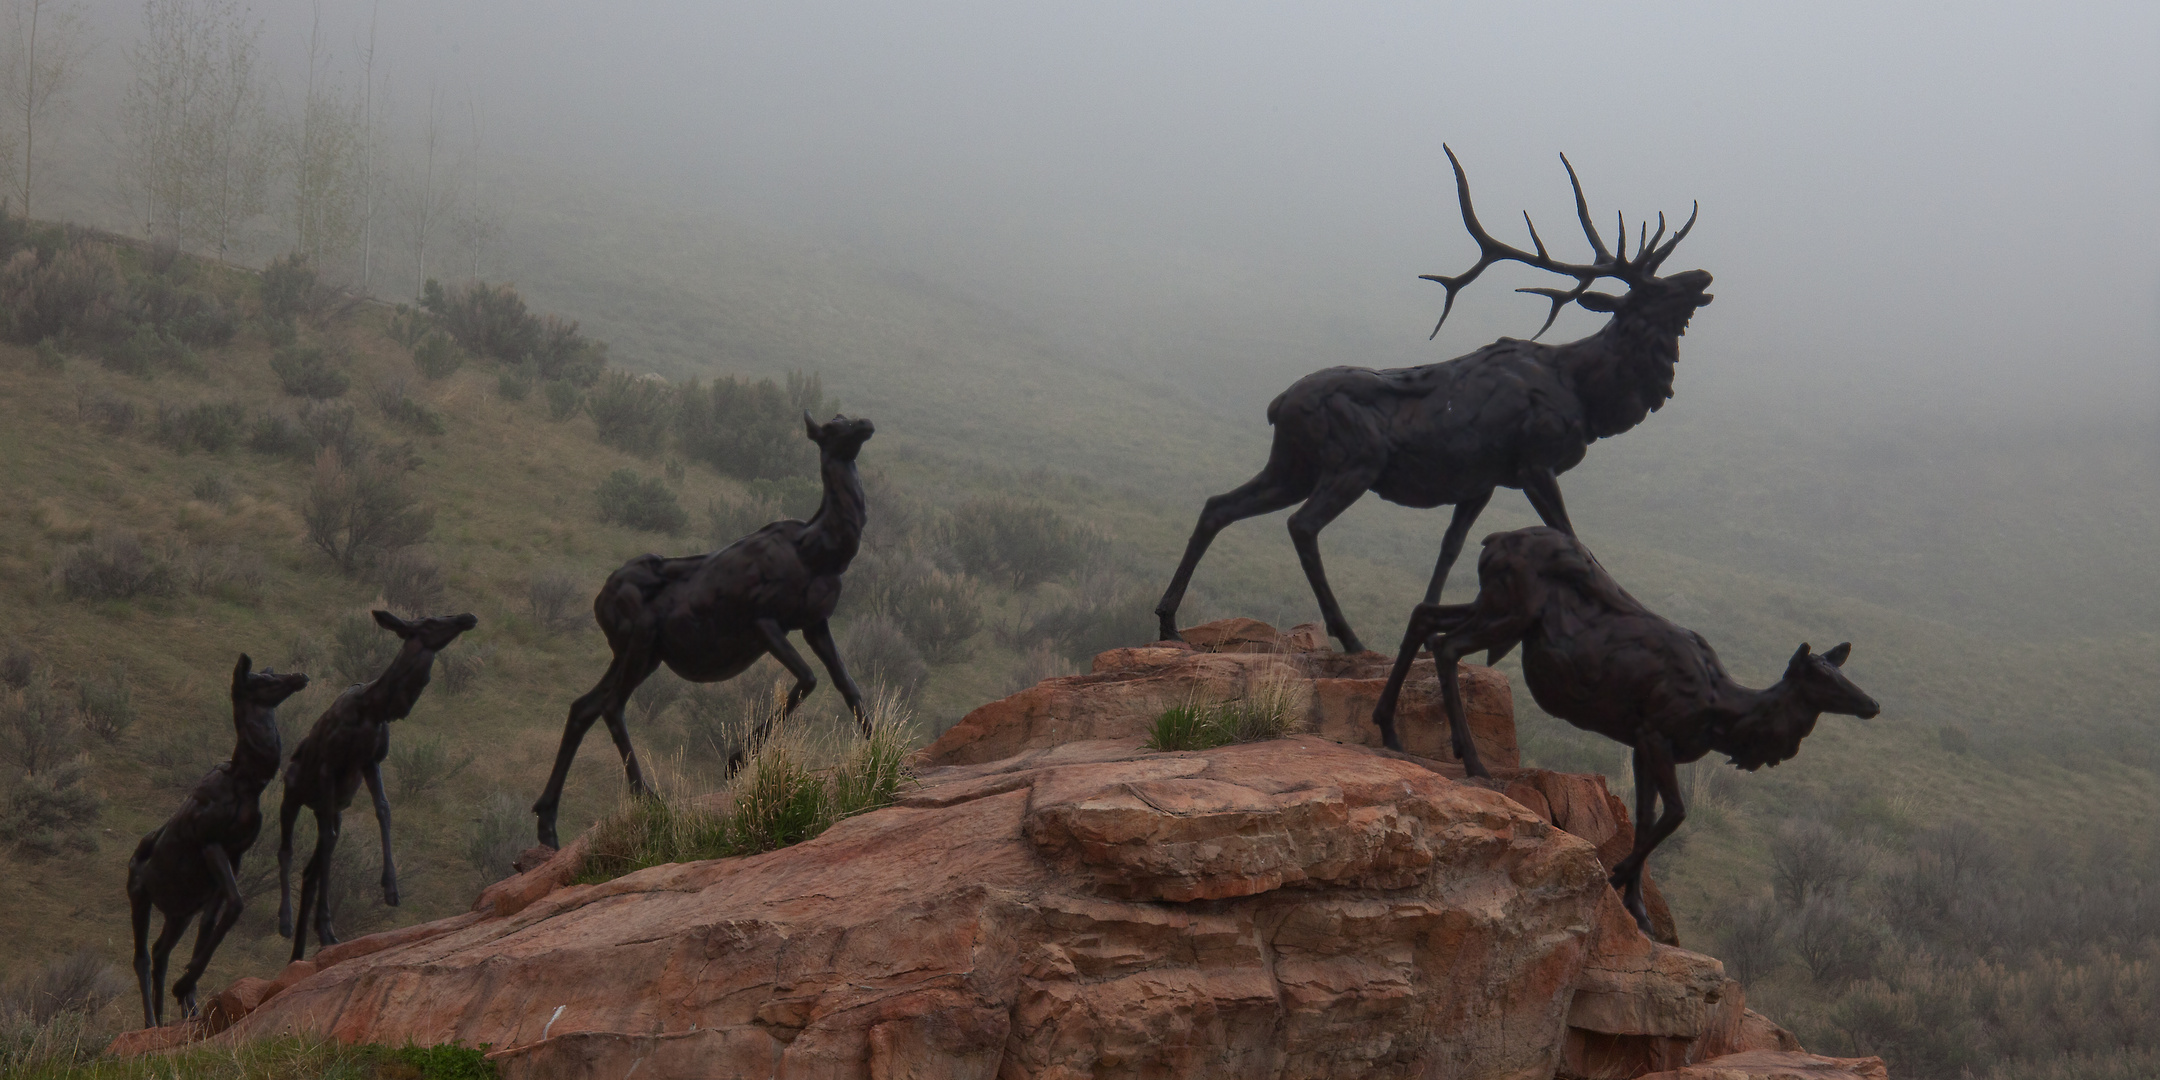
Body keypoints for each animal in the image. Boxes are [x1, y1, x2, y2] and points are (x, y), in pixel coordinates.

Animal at [127, 652, 308, 1023]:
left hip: (179, 911)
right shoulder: (211, 843)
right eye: (260, 679)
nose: (299, 675)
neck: (248, 780)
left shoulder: (234, 855)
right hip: (140, 895)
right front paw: (184, 986)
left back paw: (173, 1014)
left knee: (160, 950)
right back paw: (151, 1021)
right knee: (142, 956)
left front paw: (190, 997)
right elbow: (236, 905)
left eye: (270, 671)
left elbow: (212, 924)